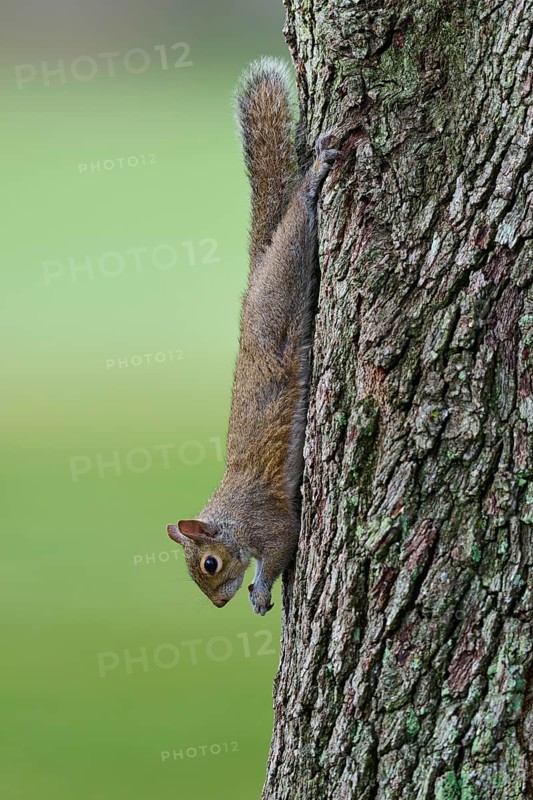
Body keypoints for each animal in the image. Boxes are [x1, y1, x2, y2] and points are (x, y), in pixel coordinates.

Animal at [167, 57, 339, 615]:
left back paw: (313, 179)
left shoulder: (273, 523)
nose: (219, 605)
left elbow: (281, 549)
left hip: (285, 277)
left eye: (209, 564)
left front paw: (260, 592)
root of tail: (258, 268)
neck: (233, 518)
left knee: (299, 223)